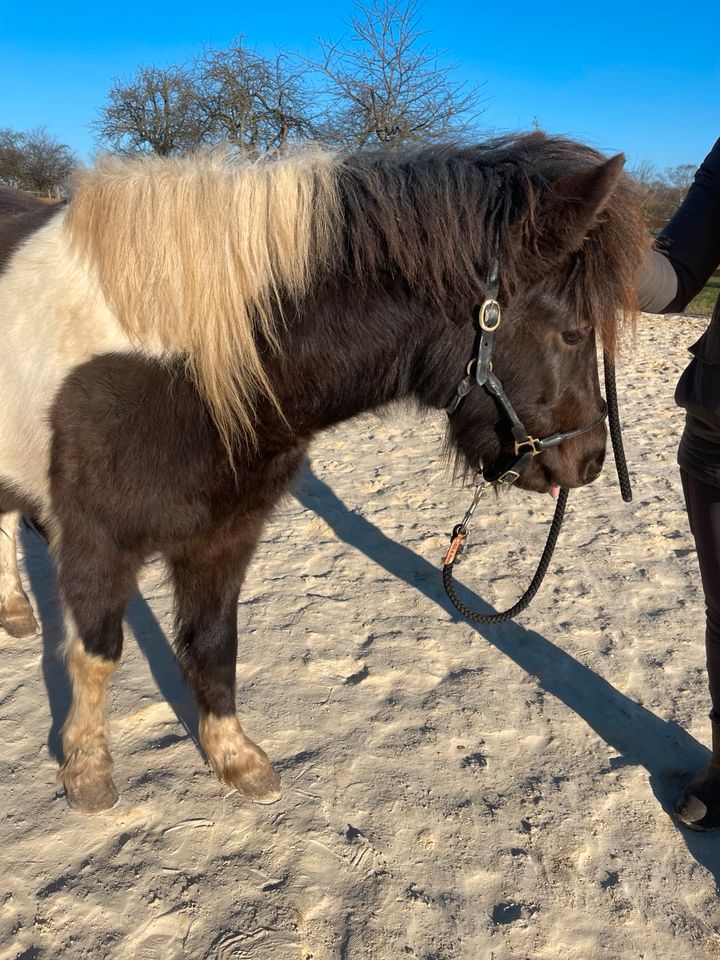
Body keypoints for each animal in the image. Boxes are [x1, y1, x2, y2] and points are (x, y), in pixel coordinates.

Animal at [0, 133, 644, 808]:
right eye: (573, 333)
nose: (590, 461)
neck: (181, 364)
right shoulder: (95, 541)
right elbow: (97, 652)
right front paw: (87, 770)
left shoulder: (226, 534)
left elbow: (214, 643)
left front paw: (236, 758)